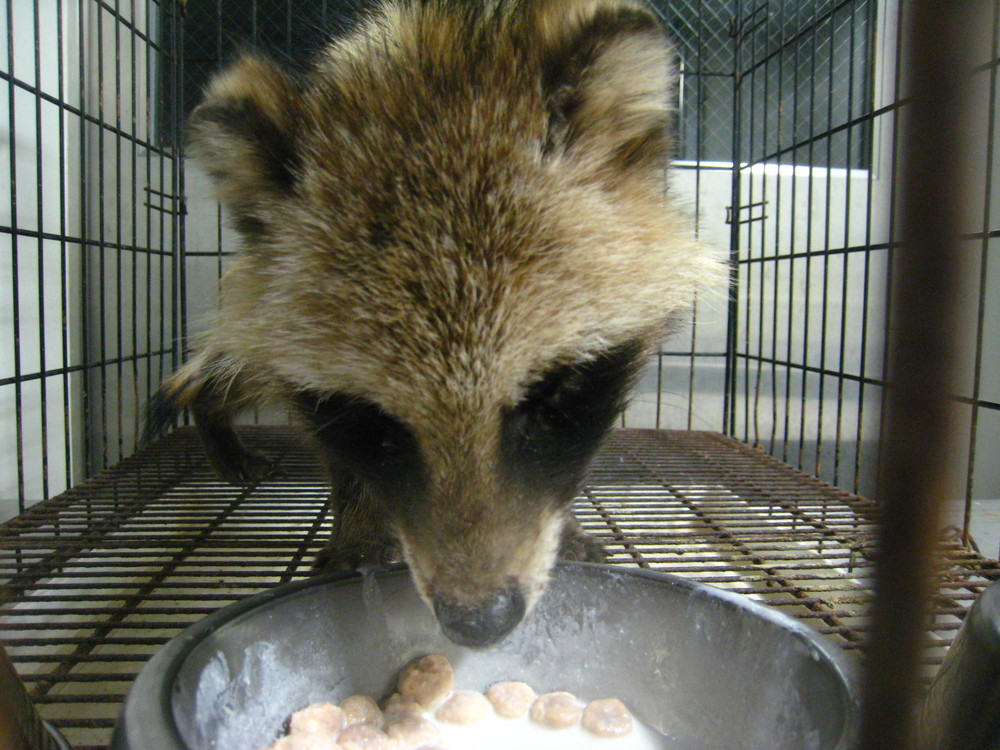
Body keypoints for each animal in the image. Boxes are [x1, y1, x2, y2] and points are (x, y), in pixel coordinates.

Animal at [150, 0, 720, 648]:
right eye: (373, 420)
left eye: (550, 395)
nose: (479, 622)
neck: (438, 56)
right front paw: (359, 518)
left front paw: (567, 521)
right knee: (234, 363)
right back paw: (208, 409)